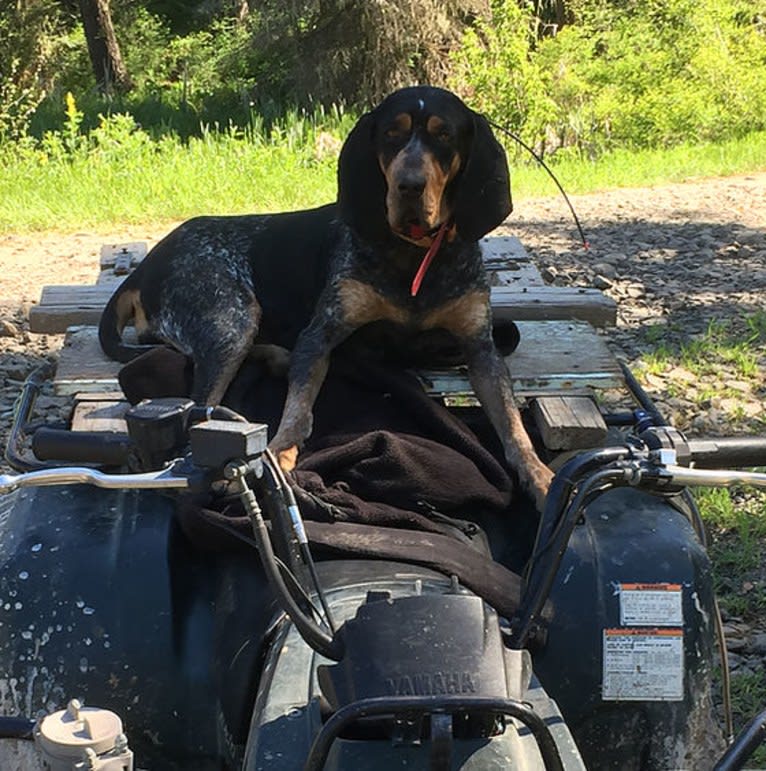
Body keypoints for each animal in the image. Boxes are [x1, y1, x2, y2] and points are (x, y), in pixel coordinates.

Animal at [100, 87, 552, 506]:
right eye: (391, 134)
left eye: (444, 136)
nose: (408, 186)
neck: (414, 253)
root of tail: (145, 266)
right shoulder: (320, 333)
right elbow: (297, 412)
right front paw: (280, 453)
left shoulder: (480, 347)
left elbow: (513, 427)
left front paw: (541, 475)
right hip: (231, 318)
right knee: (201, 403)